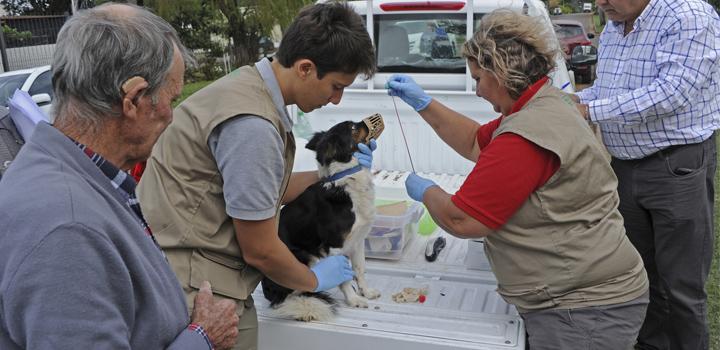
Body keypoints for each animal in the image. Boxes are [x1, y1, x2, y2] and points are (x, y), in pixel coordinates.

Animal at [260, 121, 382, 322]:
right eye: (353, 128)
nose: (367, 122)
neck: (348, 179)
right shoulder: (335, 245)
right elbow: (344, 277)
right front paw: (354, 299)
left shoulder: (358, 240)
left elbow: (360, 268)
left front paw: (366, 292)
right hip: (301, 257)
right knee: (296, 292)